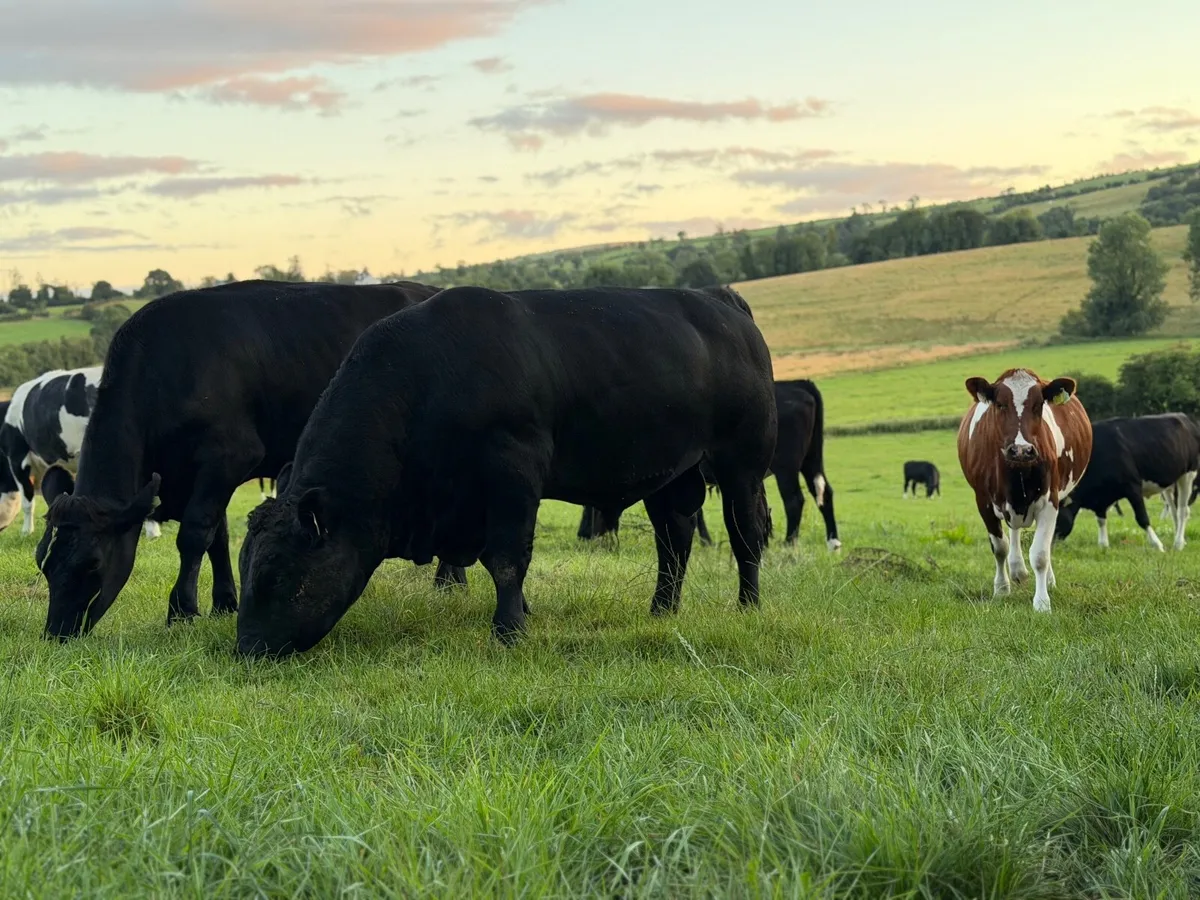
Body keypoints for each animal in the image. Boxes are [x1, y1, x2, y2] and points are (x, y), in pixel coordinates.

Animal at [36, 279, 467, 641]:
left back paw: (450, 579)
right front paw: (224, 603)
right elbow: (218, 537)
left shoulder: (229, 455)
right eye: (43, 562)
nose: (57, 632)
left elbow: (195, 533)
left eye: (92, 564)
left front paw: (181, 610)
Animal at [236, 284, 777, 657]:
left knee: (744, 533)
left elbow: (506, 559)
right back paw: (662, 609)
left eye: (276, 575)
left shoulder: (513, 476)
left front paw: (509, 630)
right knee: (674, 540)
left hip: (741, 463)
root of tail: (719, 299)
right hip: (671, 474)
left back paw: (748, 605)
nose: (247, 649)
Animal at [576, 378, 837, 550]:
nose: (583, 536)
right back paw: (832, 541)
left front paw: (706, 541)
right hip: (811, 459)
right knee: (824, 493)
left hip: (787, 466)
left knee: (794, 499)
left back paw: (789, 542)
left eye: (589, 512)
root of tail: (800, 384)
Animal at [957, 368, 1092, 612]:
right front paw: (1001, 589)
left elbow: (1040, 553)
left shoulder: (1050, 501)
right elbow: (999, 547)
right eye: (1000, 404)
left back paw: (1046, 579)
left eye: (1039, 405)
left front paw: (1042, 602)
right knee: (1013, 532)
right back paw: (1017, 569)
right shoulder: (983, 502)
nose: (1021, 450)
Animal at [1054, 414, 1200, 552]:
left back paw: (1178, 543)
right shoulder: (1101, 496)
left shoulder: (1132, 486)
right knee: (1174, 510)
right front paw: (1103, 545)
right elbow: (1100, 519)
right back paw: (1181, 539)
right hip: (1170, 484)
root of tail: (1184, 418)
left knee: (1182, 511)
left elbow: (1142, 518)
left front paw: (1157, 545)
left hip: (1188, 474)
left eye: (1055, 520)